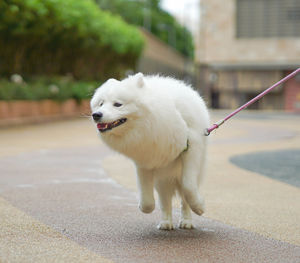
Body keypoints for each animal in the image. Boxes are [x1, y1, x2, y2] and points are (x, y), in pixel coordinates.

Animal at [90, 73, 210, 230]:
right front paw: (144, 207)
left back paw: (186, 221)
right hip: (163, 179)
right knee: (165, 200)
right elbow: (147, 199)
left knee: (184, 198)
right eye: (101, 104)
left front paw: (200, 207)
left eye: (118, 104)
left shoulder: (191, 148)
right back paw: (166, 222)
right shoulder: (145, 160)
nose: (96, 115)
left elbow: (188, 187)